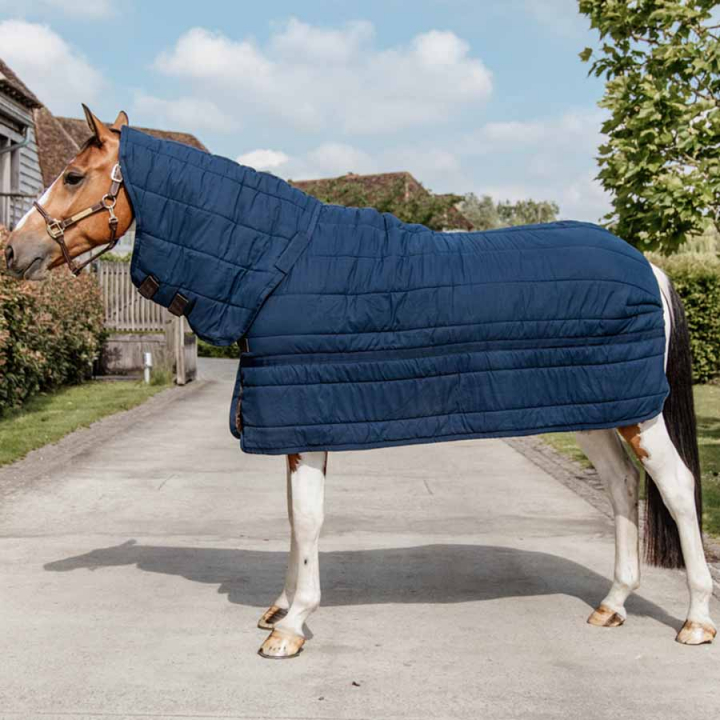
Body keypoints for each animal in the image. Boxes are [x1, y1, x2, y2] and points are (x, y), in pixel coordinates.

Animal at [4, 106, 716, 659]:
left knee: (676, 490)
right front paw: (280, 606)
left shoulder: (303, 417)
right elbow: (295, 519)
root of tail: (648, 265)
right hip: (593, 405)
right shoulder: (297, 419)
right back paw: (612, 604)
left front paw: (291, 626)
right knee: (624, 486)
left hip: (637, 412)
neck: (278, 267)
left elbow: (308, 518)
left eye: (74, 175)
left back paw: (695, 621)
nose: (15, 251)